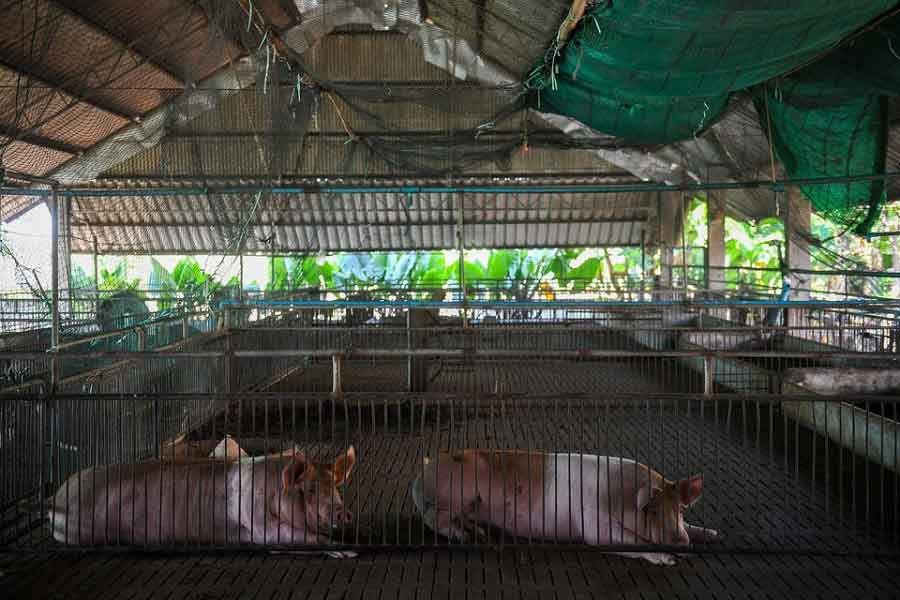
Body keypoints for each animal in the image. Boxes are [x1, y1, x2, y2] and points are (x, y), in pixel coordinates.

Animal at [48, 436, 352, 548]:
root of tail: (55, 498)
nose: (342, 511)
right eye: (310, 489)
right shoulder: (255, 521)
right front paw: (343, 551)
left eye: (335, 486)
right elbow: (293, 536)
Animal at [414, 450, 716, 564]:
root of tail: (422, 473)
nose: (681, 543)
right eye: (651, 511)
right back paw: (469, 537)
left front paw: (712, 534)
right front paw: (669, 560)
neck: (620, 495)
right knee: (433, 518)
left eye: (680, 510)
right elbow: (628, 541)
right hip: (456, 496)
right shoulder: (593, 524)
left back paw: (478, 533)